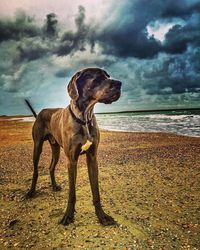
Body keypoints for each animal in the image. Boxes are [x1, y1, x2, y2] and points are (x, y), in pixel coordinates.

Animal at [25, 67, 122, 226]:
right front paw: (68, 216)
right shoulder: (72, 160)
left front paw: (102, 216)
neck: (84, 118)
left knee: (51, 167)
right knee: (35, 171)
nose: (120, 84)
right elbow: (72, 193)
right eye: (98, 78)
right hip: (37, 146)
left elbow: (96, 192)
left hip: (56, 149)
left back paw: (54, 186)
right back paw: (31, 192)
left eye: (108, 75)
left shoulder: (92, 158)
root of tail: (40, 112)